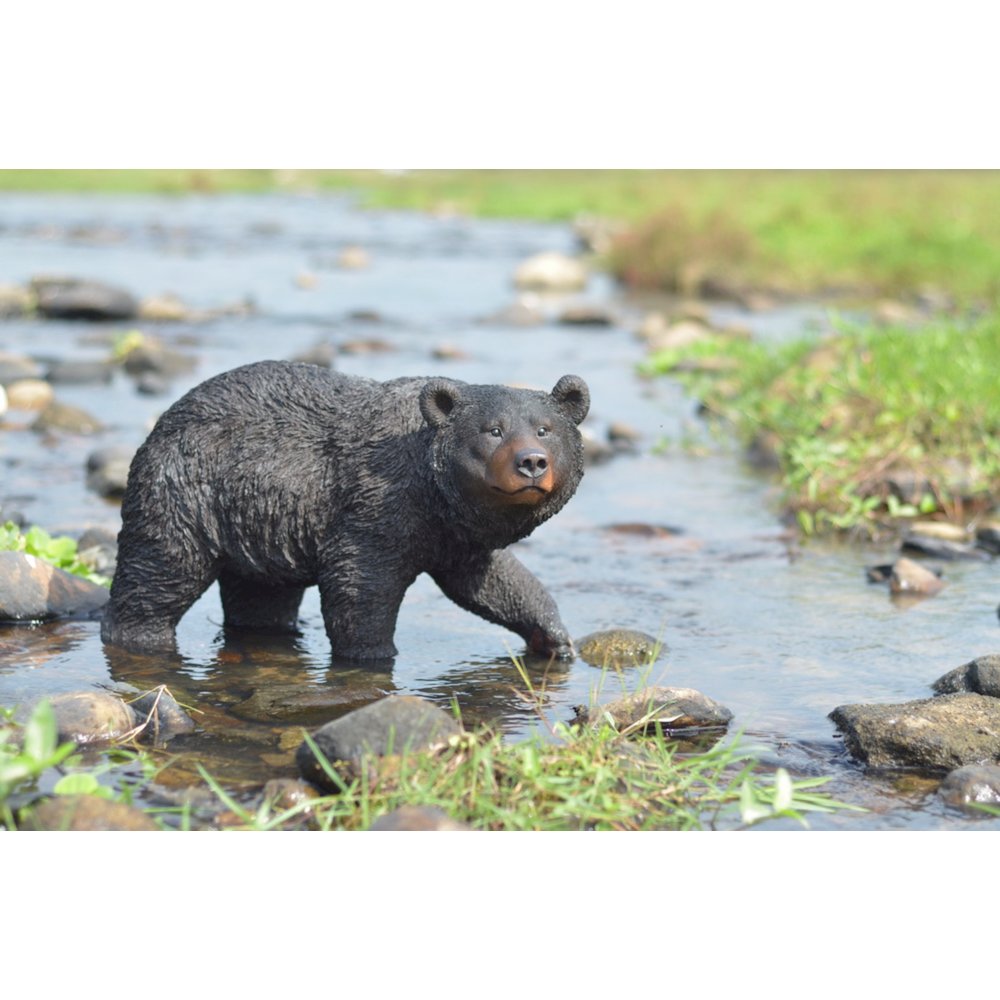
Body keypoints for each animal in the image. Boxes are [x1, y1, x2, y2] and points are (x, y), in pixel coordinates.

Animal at [100, 360, 590, 661]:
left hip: (256, 516)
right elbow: (359, 584)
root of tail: (162, 421)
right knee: (162, 570)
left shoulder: (456, 536)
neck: (432, 492)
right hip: (185, 491)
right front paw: (374, 654)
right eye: (494, 430)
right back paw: (139, 635)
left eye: (545, 430)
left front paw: (554, 637)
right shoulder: (375, 506)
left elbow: (494, 584)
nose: (531, 462)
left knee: (259, 592)